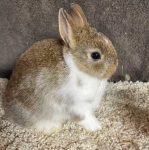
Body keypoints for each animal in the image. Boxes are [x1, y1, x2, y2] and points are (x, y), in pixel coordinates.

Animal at [2, 3, 117, 135]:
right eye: (96, 55)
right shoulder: (73, 105)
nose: (115, 66)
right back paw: (53, 127)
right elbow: (84, 117)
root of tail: (7, 109)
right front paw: (96, 127)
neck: (76, 67)